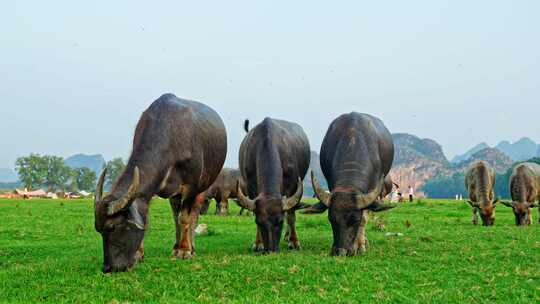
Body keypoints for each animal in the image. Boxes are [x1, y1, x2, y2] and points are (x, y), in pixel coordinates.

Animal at [94, 93, 227, 274]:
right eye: (98, 229)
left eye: (112, 227)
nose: (107, 267)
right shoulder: (148, 193)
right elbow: (147, 217)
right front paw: (139, 254)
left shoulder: (191, 187)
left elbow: (185, 218)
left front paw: (184, 250)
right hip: (175, 194)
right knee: (175, 213)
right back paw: (176, 246)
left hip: (203, 186)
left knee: (193, 213)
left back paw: (190, 247)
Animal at [235, 117, 308, 253]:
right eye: (259, 222)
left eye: (280, 221)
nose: (271, 250)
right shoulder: (251, 187)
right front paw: (258, 243)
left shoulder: (293, 185)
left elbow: (291, 215)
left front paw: (294, 242)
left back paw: (288, 237)